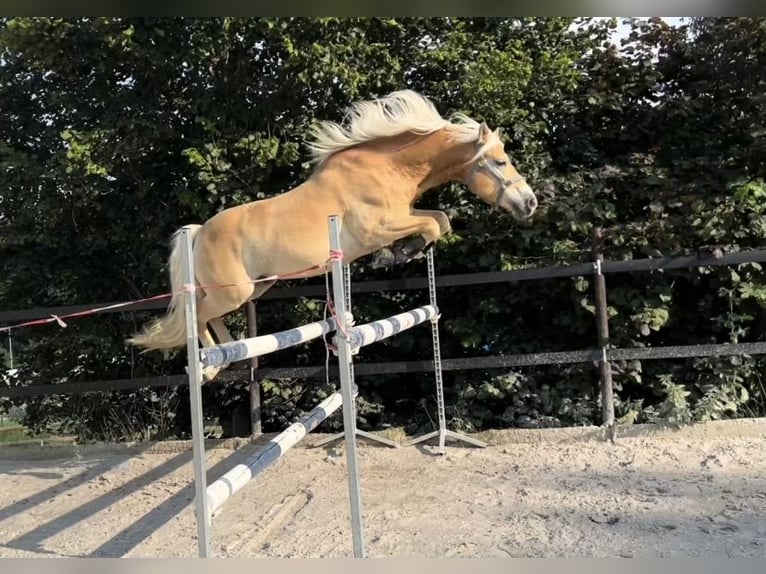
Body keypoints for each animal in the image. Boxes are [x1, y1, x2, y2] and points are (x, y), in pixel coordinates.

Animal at [130, 90, 540, 382]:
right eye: (500, 161)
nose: (530, 203)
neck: (389, 167)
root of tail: (198, 232)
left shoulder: (402, 215)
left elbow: (439, 220)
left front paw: (403, 252)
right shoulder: (378, 227)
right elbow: (431, 226)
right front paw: (393, 255)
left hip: (255, 287)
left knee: (206, 316)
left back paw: (224, 357)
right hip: (235, 291)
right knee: (196, 315)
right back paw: (210, 365)